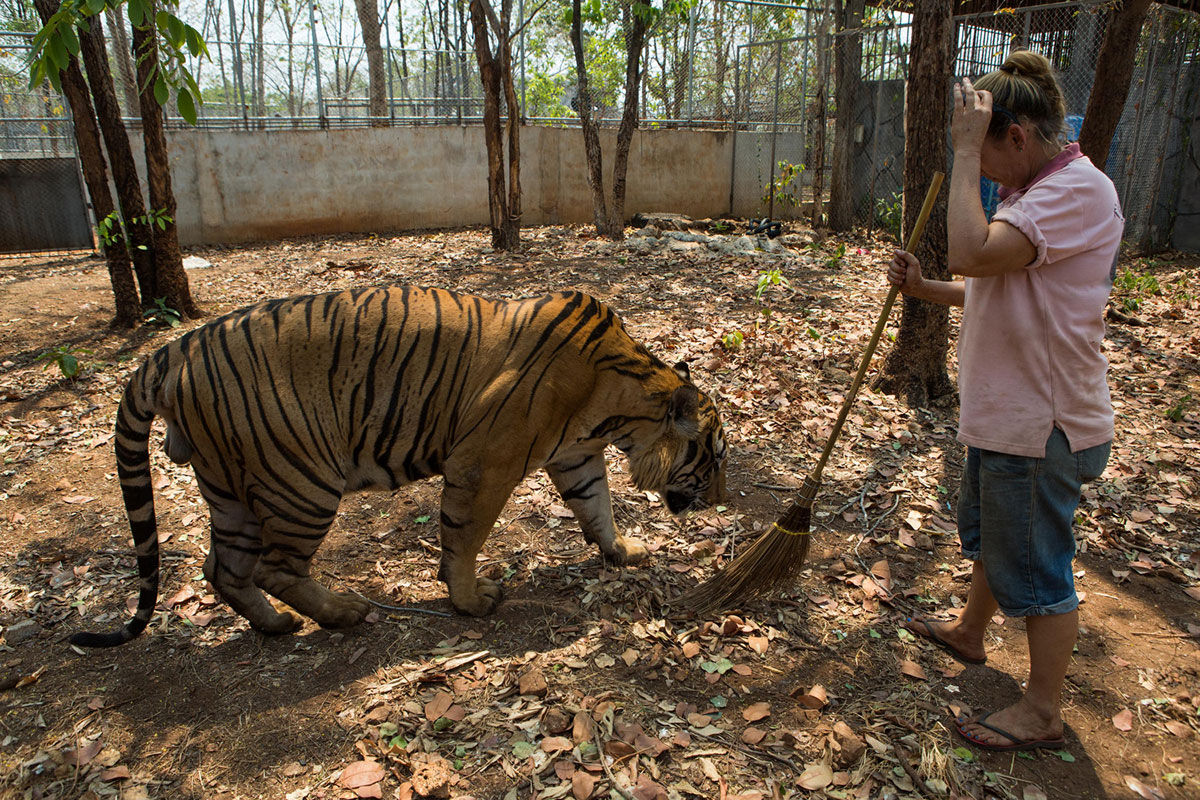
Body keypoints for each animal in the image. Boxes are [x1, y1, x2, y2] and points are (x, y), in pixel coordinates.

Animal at [71, 287, 727, 647]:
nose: (722, 500)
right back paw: (343, 612)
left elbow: (597, 506)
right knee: (272, 567)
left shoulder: (575, 455)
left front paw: (622, 551)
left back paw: (276, 626)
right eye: (716, 457)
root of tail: (169, 351)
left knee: (223, 569)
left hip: (231, 488)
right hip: (303, 481)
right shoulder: (484, 461)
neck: (618, 409)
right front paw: (470, 600)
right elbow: (464, 536)